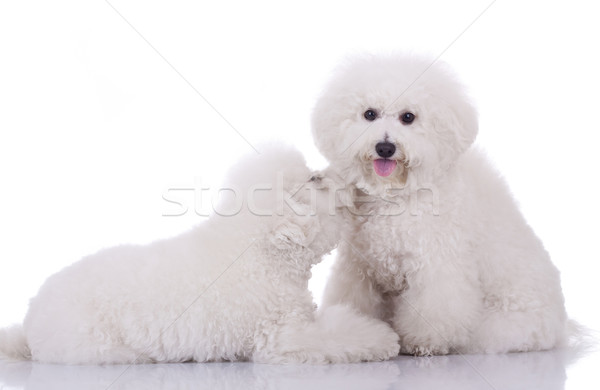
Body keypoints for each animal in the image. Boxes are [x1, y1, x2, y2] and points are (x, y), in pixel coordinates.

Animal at [1, 146, 404, 366]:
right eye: (314, 180)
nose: (347, 176)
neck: (262, 255)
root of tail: (30, 321)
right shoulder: (284, 337)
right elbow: (340, 337)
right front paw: (382, 340)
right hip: (87, 343)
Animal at [312, 54, 568, 356]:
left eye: (408, 117)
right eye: (370, 114)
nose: (385, 147)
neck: (394, 196)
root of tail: (560, 328)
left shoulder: (437, 264)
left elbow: (437, 308)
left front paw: (424, 342)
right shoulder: (359, 269)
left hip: (501, 326)